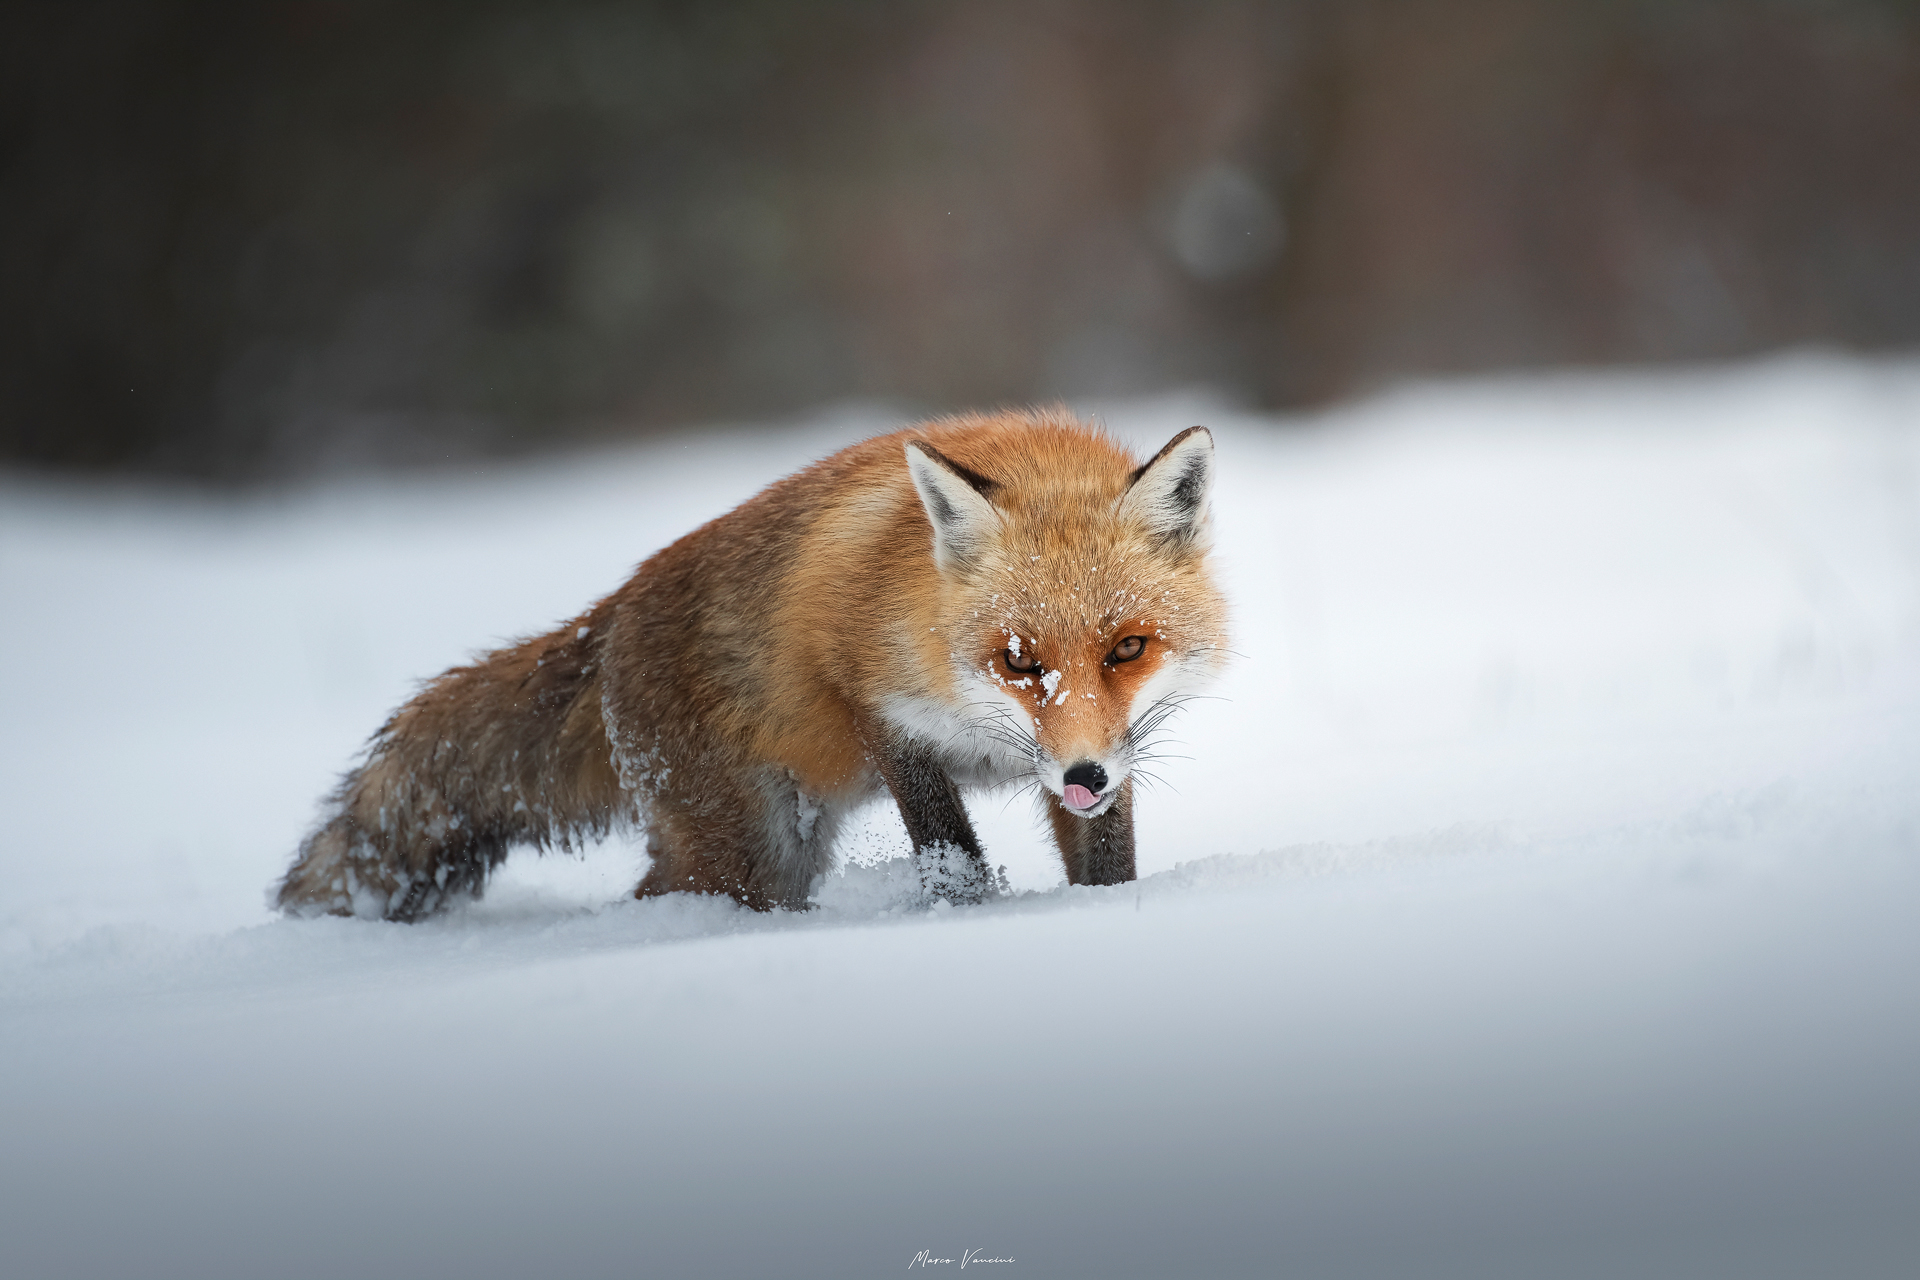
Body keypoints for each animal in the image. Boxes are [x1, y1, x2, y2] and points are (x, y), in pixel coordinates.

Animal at [274, 408, 1226, 920]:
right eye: (1019, 661)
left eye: (1127, 648)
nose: (1081, 774)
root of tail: (610, 618)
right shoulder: (880, 710)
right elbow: (948, 852)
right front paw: (959, 920)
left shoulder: (1109, 758)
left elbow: (1106, 863)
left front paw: (1100, 915)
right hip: (751, 854)